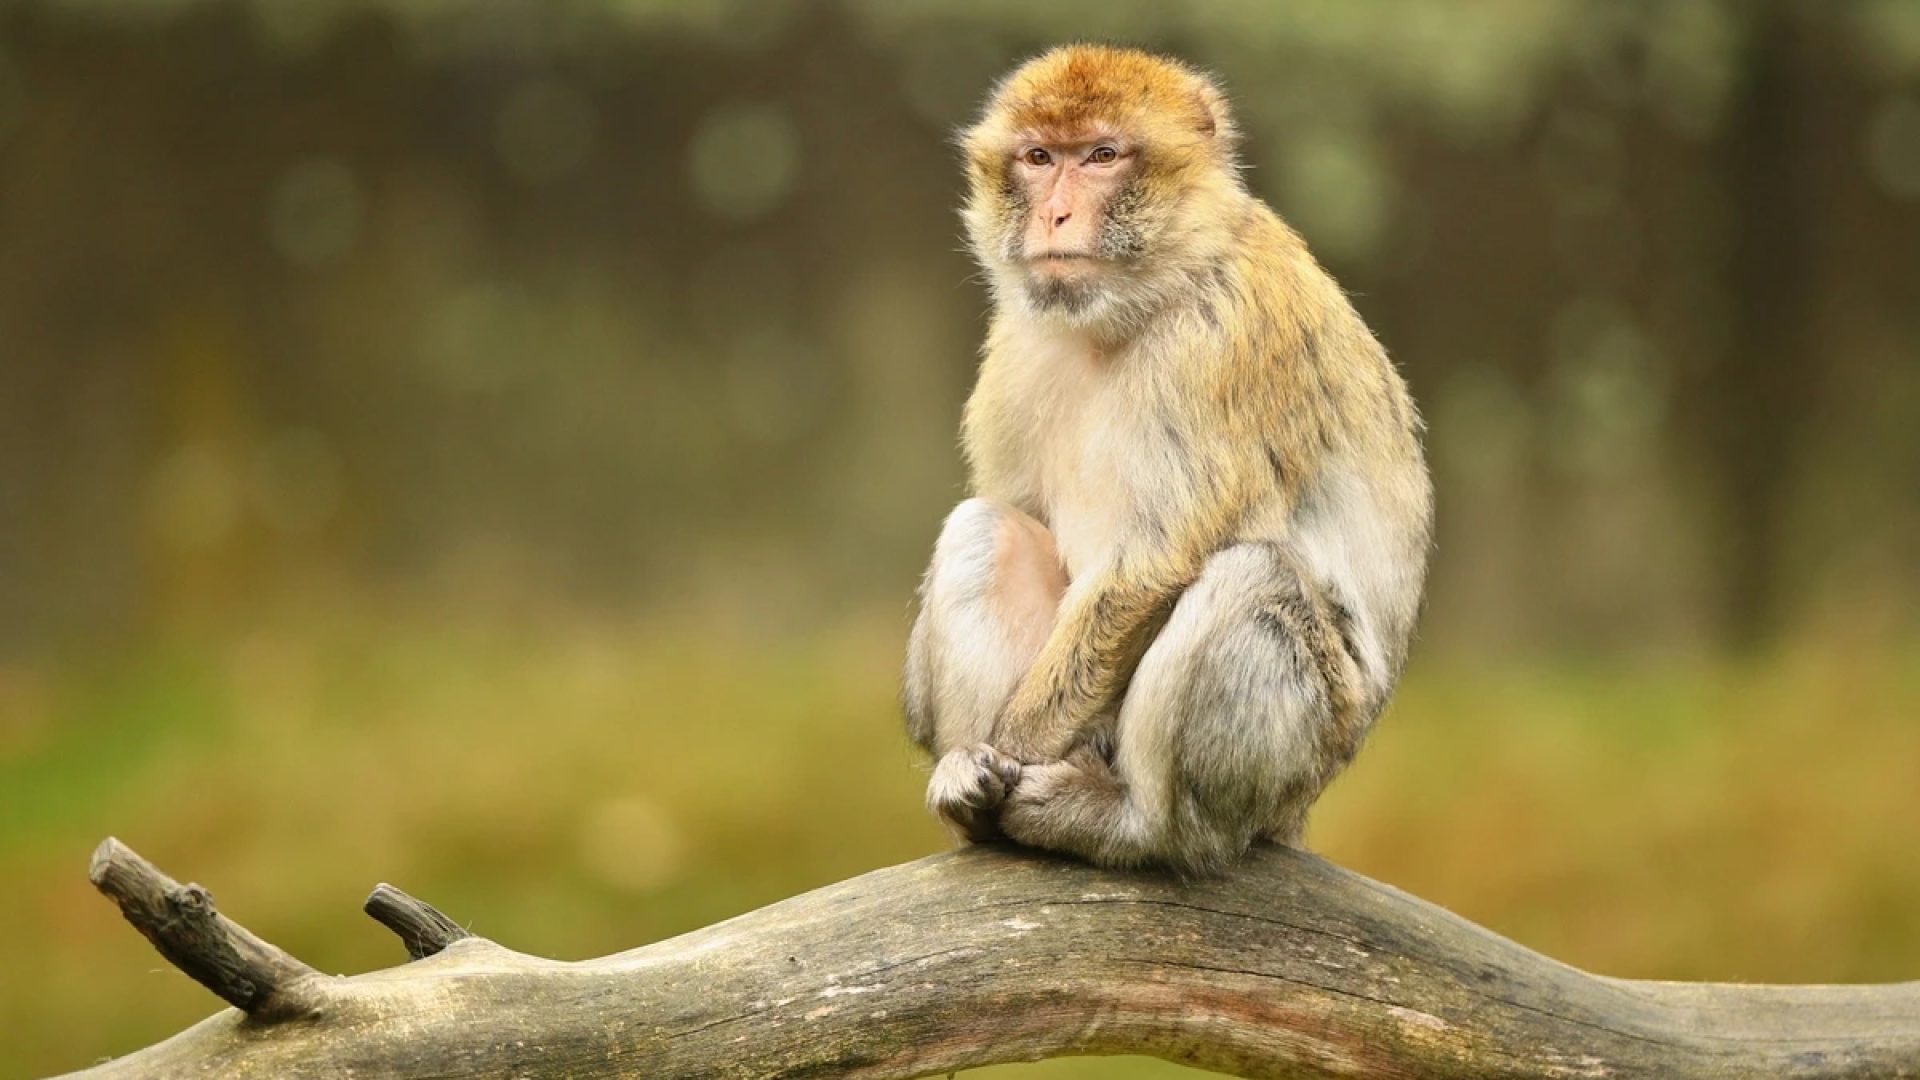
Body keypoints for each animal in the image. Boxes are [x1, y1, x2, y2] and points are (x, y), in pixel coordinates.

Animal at [901, 45, 1432, 875]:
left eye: (1102, 156)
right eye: (1039, 157)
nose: (1055, 214)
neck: (1142, 298)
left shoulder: (1221, 342)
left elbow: (1155, 564)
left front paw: (1012, 748)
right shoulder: (1017, 345)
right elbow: (1017, 510)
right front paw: (963, 755)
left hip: (1294, 762)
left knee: (1255, 577)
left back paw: (1134, 825)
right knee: (986, 528)